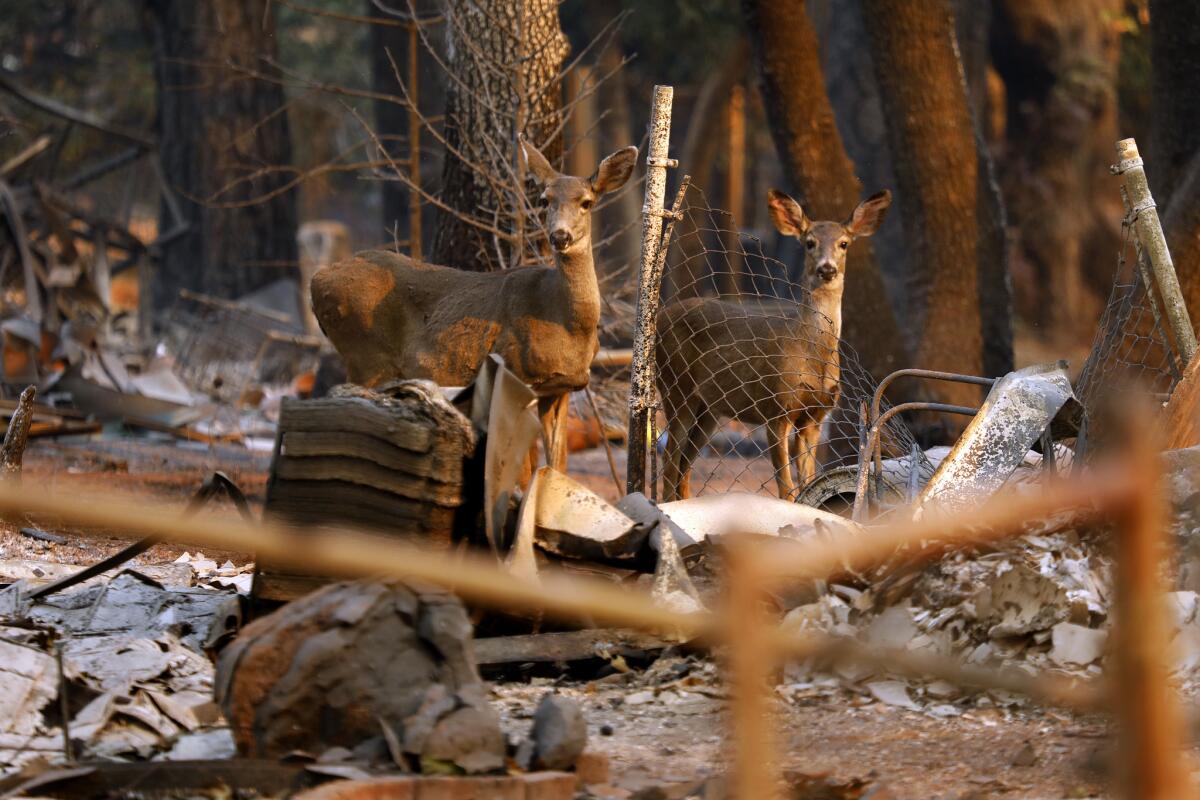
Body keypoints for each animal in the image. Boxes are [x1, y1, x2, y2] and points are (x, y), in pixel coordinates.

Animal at [314, 140, 643, 472]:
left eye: (587, 202)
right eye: (545, 200)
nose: (560, 236)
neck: (564, 321)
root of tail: (318, 279)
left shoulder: (562, 389)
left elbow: (556, 467)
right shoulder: (515, 372)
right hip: (365, 357)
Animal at [657, 188, 892, 501]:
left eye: (844, 243)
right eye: (809, 242)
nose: (827, 269)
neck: (812, 353)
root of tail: (659, 316)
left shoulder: (815, 417)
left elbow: (808, 483)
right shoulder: (776, 408)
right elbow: (786, 488)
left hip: (710, 408)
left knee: (684, 463)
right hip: (676, 388)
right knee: (670, 459)